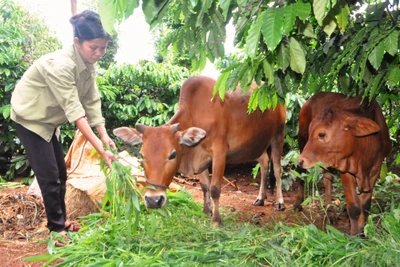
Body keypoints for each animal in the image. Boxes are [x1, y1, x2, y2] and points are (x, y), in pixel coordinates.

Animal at [114, 76, 286, 226]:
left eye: (173, 155)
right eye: (142, 155)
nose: (153, 200)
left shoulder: (219, 153)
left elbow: (215, 188)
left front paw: (216, 220)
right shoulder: (201, 158)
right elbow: (205, 186)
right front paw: (206, 211)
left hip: (278, 135)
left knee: (278, 169)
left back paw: (280, 202)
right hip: (257, 144)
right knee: (264, 163)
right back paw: (260, 198)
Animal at [296, 92, 390, 237]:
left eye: (321, 134)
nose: (301, 160)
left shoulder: (376, 170)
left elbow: (365, 206)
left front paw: (362, 233)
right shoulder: (345, 170)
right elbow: (354, 208)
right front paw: (354, 236)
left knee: (327, 179)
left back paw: (330, 213)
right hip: (301, 139)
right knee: (301, 173)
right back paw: (298, 203)